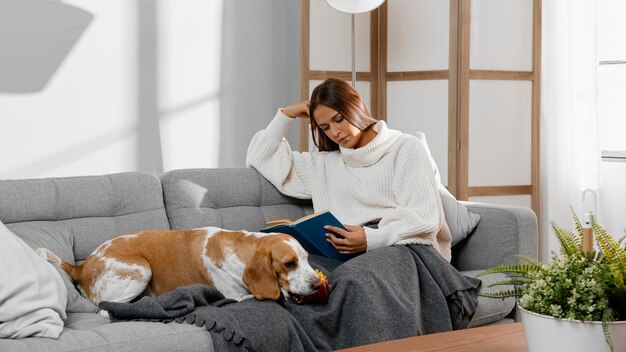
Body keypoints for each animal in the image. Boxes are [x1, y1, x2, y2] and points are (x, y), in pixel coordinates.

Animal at [37, 227, 322, 304]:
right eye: (289, 263)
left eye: (308, 258)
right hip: (141, 270)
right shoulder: (237, 296)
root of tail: (82, 267)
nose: (318, 284)